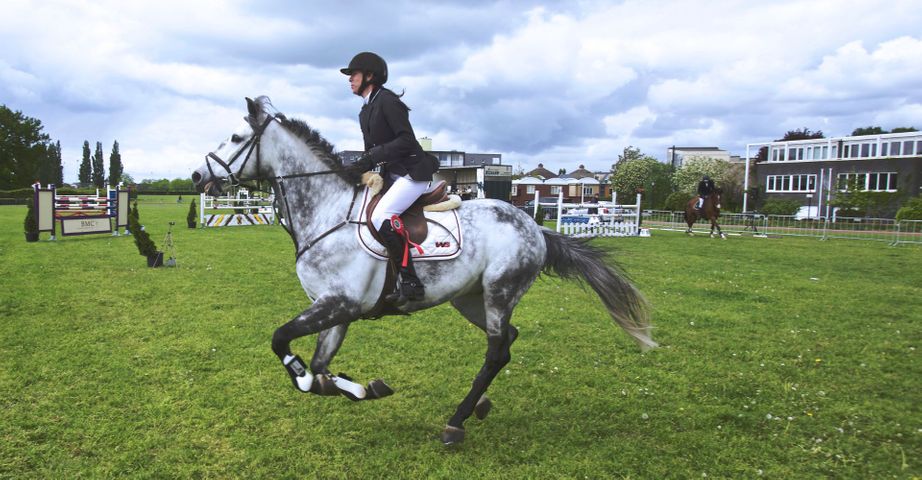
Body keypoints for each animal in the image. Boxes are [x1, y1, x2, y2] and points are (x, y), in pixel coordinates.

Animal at [192, 97, 656, 446]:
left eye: (236, 138)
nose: (198, 175)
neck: (327, 211)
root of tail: (534, 226)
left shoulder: (338, 304)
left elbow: (283, 344)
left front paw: (332, 382)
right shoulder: (336, 310)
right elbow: (321, 369)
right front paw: (363, 387)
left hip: (499, 291)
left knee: (495, 351)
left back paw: (456, 421)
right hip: (471, 299)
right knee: (507, 341)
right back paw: (478, 407)